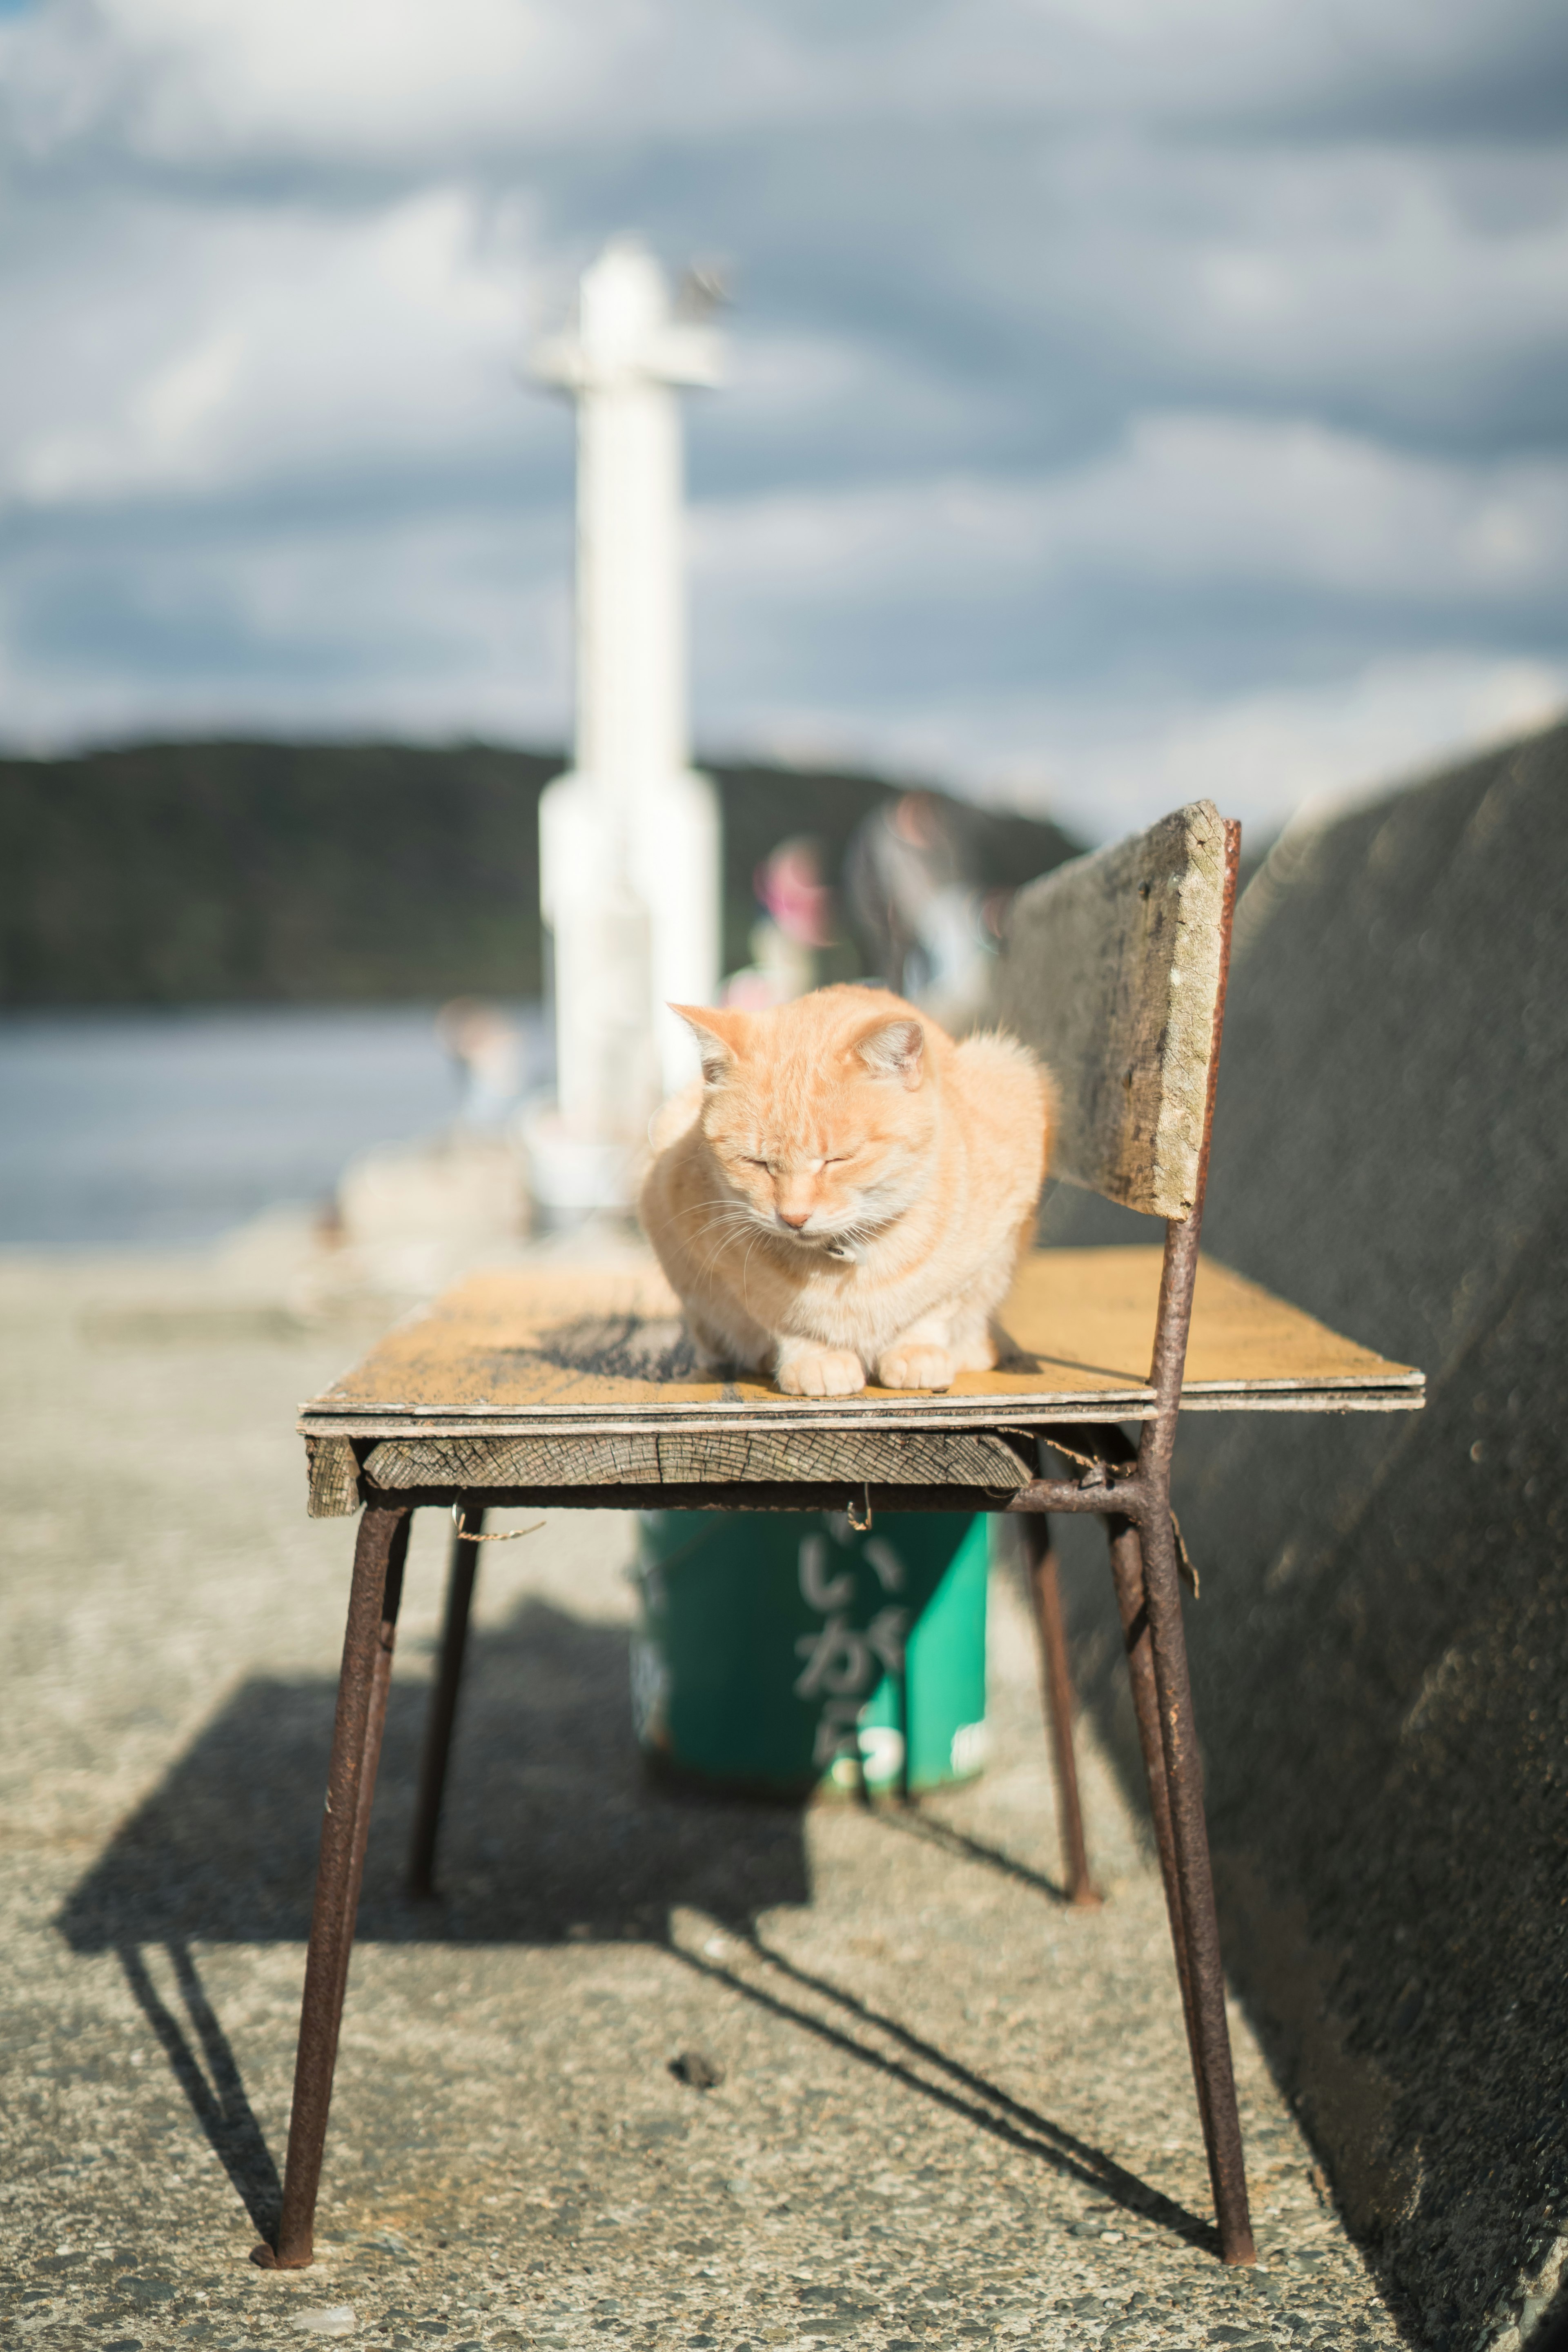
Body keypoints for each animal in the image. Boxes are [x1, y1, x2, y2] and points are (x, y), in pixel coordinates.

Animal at [639, 978, 1053, 1383]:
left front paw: (916, 1351)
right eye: (758, 1163)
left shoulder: (986, 1249)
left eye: (837, 1160)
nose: (793, 1218)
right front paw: (816, 1359)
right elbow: (783, 1319)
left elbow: (934, 1309)